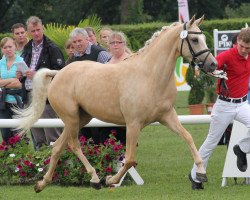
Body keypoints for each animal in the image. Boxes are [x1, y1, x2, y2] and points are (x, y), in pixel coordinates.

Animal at [14, 16, 217, 192]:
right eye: (194, 39)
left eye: (203, 38)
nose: (213, 65)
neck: (149, 75)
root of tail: (57, 73)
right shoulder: (133, 124)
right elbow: (129, 159)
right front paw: (110, 180)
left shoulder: (167, 116)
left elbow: (188, 137)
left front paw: (201, 174)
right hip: (71, 118)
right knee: (73, 145)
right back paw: (95, 178)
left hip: (81, 118)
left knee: (58, 146)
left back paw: (43, 184)